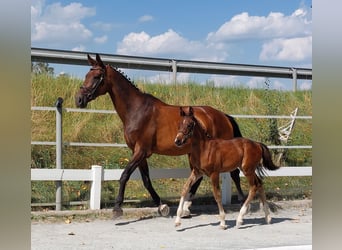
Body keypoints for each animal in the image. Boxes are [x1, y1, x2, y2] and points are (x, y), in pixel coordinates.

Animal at [75, 53, 246, 218]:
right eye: (86, 75)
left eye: (97, 76)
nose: (79, 100)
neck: (137, 110)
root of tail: (224, 116)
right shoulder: (139, 153)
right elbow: (146, 180)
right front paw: (162, 206)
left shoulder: (141, 151)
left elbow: (124, 175)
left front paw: (117, 208)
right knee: (199, 177)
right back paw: (185, 208)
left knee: (231, 174)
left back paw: (240, 202)